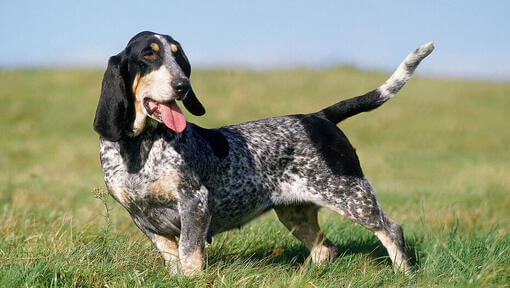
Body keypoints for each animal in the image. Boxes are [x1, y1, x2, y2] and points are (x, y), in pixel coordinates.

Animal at [93, 31, 432, 274]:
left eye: (180, 58)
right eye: (148, 55)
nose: (182, 85)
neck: (140, 146)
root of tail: (319, 117)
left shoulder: (194, 203)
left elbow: (189, 254)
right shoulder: (143, 218)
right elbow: (173, 258)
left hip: (352, 197)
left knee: (391, 230)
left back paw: (403, 275)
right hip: (295, 211)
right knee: (325, 249)